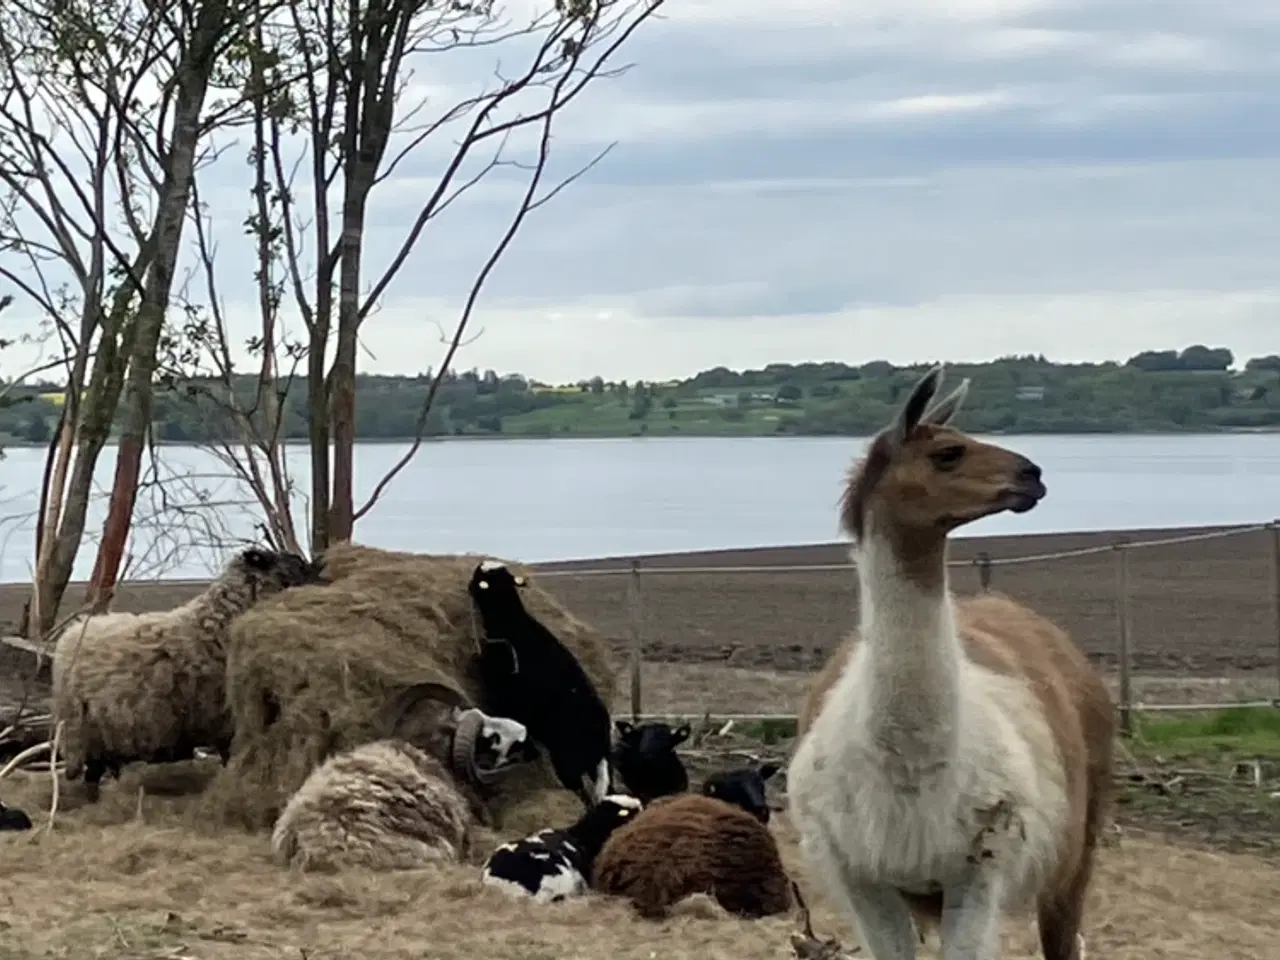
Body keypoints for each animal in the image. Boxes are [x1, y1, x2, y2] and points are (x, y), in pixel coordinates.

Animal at [53, 547, 325, 803]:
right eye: (294, 566)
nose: (322, 579)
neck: (218, 624)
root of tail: (70, 636)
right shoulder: (227, 722)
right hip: (88, 732)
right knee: (92, 775)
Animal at [468, 560, 611, 814]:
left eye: (481, 577)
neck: (512, 625)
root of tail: (602, 731)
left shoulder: (503, 696)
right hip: (592, 764)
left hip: (568, 759)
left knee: (580, 792)